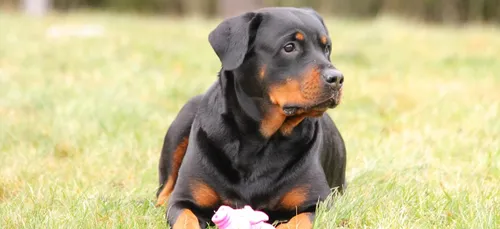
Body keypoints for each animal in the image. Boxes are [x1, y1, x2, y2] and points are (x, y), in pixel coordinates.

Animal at [157, 7, 348, 229]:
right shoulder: (183, 201)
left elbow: (297, 221)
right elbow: (185, 217)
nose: (337, 78)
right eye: (289, 47)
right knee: (163, 191)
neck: (257, 140)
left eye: (326, 48)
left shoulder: (318, 203)